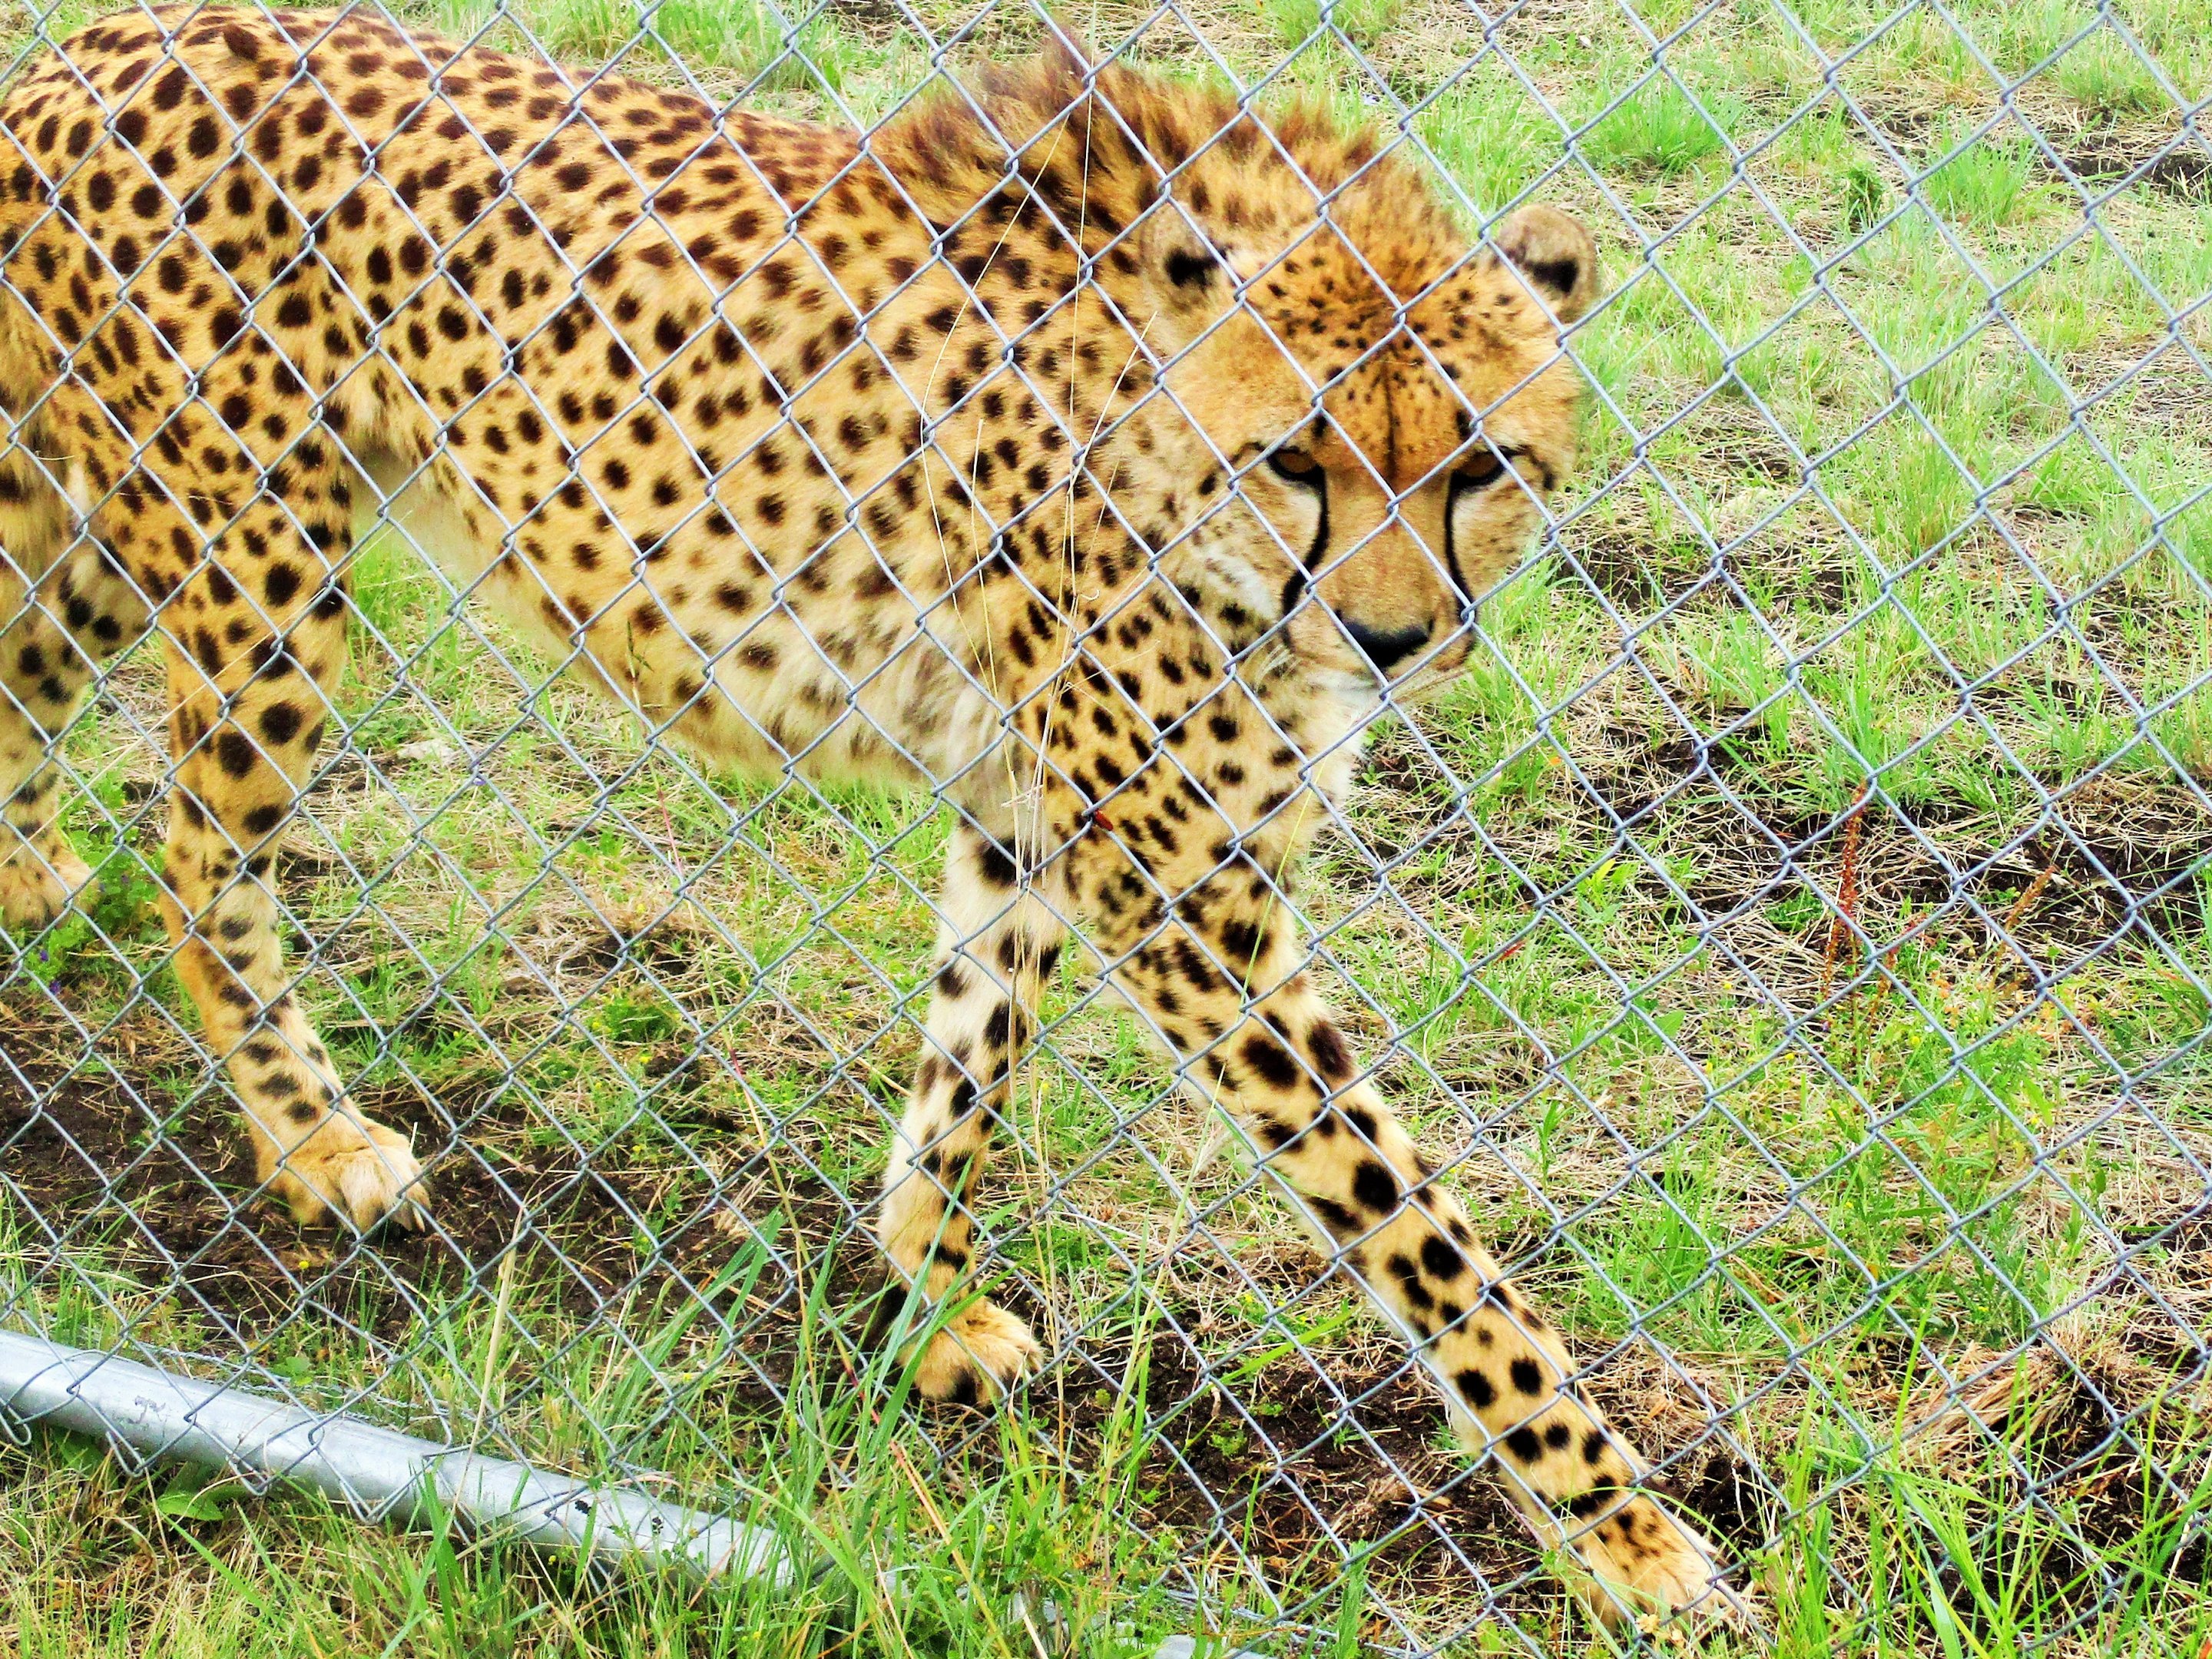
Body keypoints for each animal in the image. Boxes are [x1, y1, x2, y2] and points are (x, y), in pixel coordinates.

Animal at [0, 4, 1745, 1629]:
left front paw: (931, 1299)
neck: (1162, 446)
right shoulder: (1182, 886)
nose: (1392, 639)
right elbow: (1417, 1232)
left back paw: (32, 882)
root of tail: (101, 43)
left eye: (1483, 465)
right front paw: (1628, 1536)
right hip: (258, 568)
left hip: (110, 522)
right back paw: (313, 1139)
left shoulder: (1031, 810)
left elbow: (973, 1054)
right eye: (1298, 461)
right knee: (198, 856)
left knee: (27, 677)